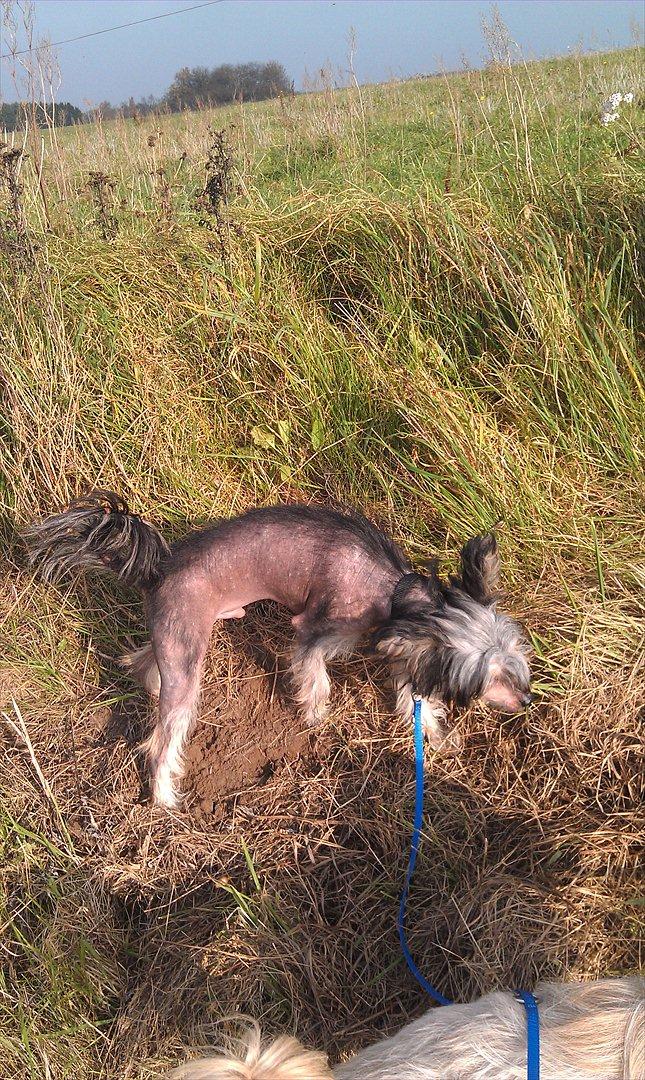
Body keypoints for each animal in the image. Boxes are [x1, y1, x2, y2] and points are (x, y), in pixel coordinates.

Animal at [25, 494, 531, 807]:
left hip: (179, 638)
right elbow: (314, 674)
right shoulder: (315, 630)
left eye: (516, 665)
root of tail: (159, 567)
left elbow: (413, 699)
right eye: (493, 678)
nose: (527, 700)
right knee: (161, 741)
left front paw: (434, 734)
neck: (397, 592)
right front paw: (316, 715)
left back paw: (145, 680)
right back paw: (165, 796)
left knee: (146, 660)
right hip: (187, 668)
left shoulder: (404, 650)